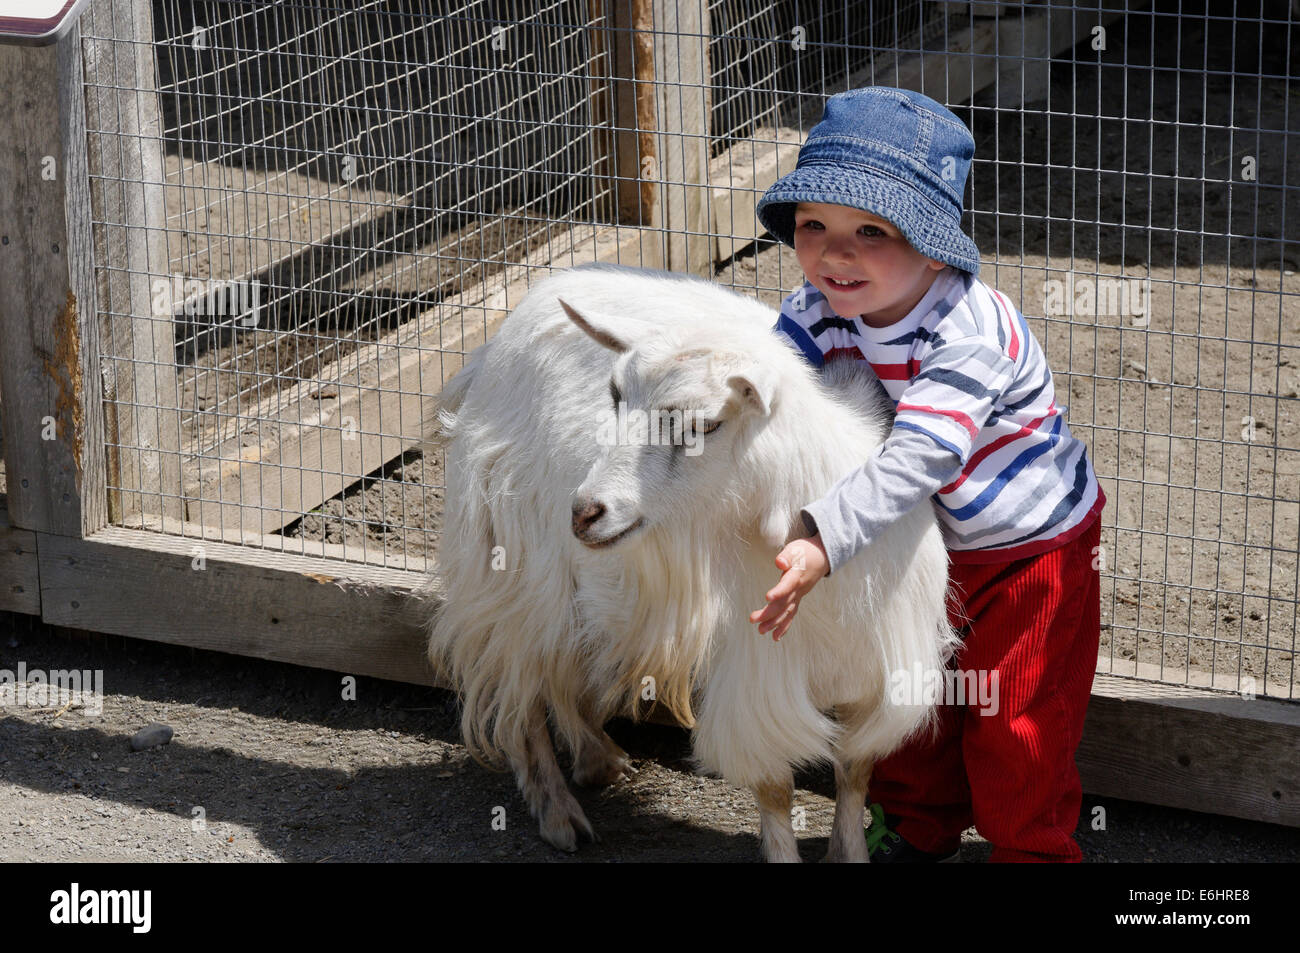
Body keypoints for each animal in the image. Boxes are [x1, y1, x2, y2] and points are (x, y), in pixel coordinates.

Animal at [426, 262, 956, 863]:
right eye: (615, 397)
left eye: (703, 425)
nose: (584, 512)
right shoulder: (756, 674)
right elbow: (775, 788)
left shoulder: (877, 675)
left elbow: (855, 772)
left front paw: (850, 853)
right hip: (514, 562)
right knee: (522, 683)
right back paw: (558, 811)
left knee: (561, 666)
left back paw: (596, 758)